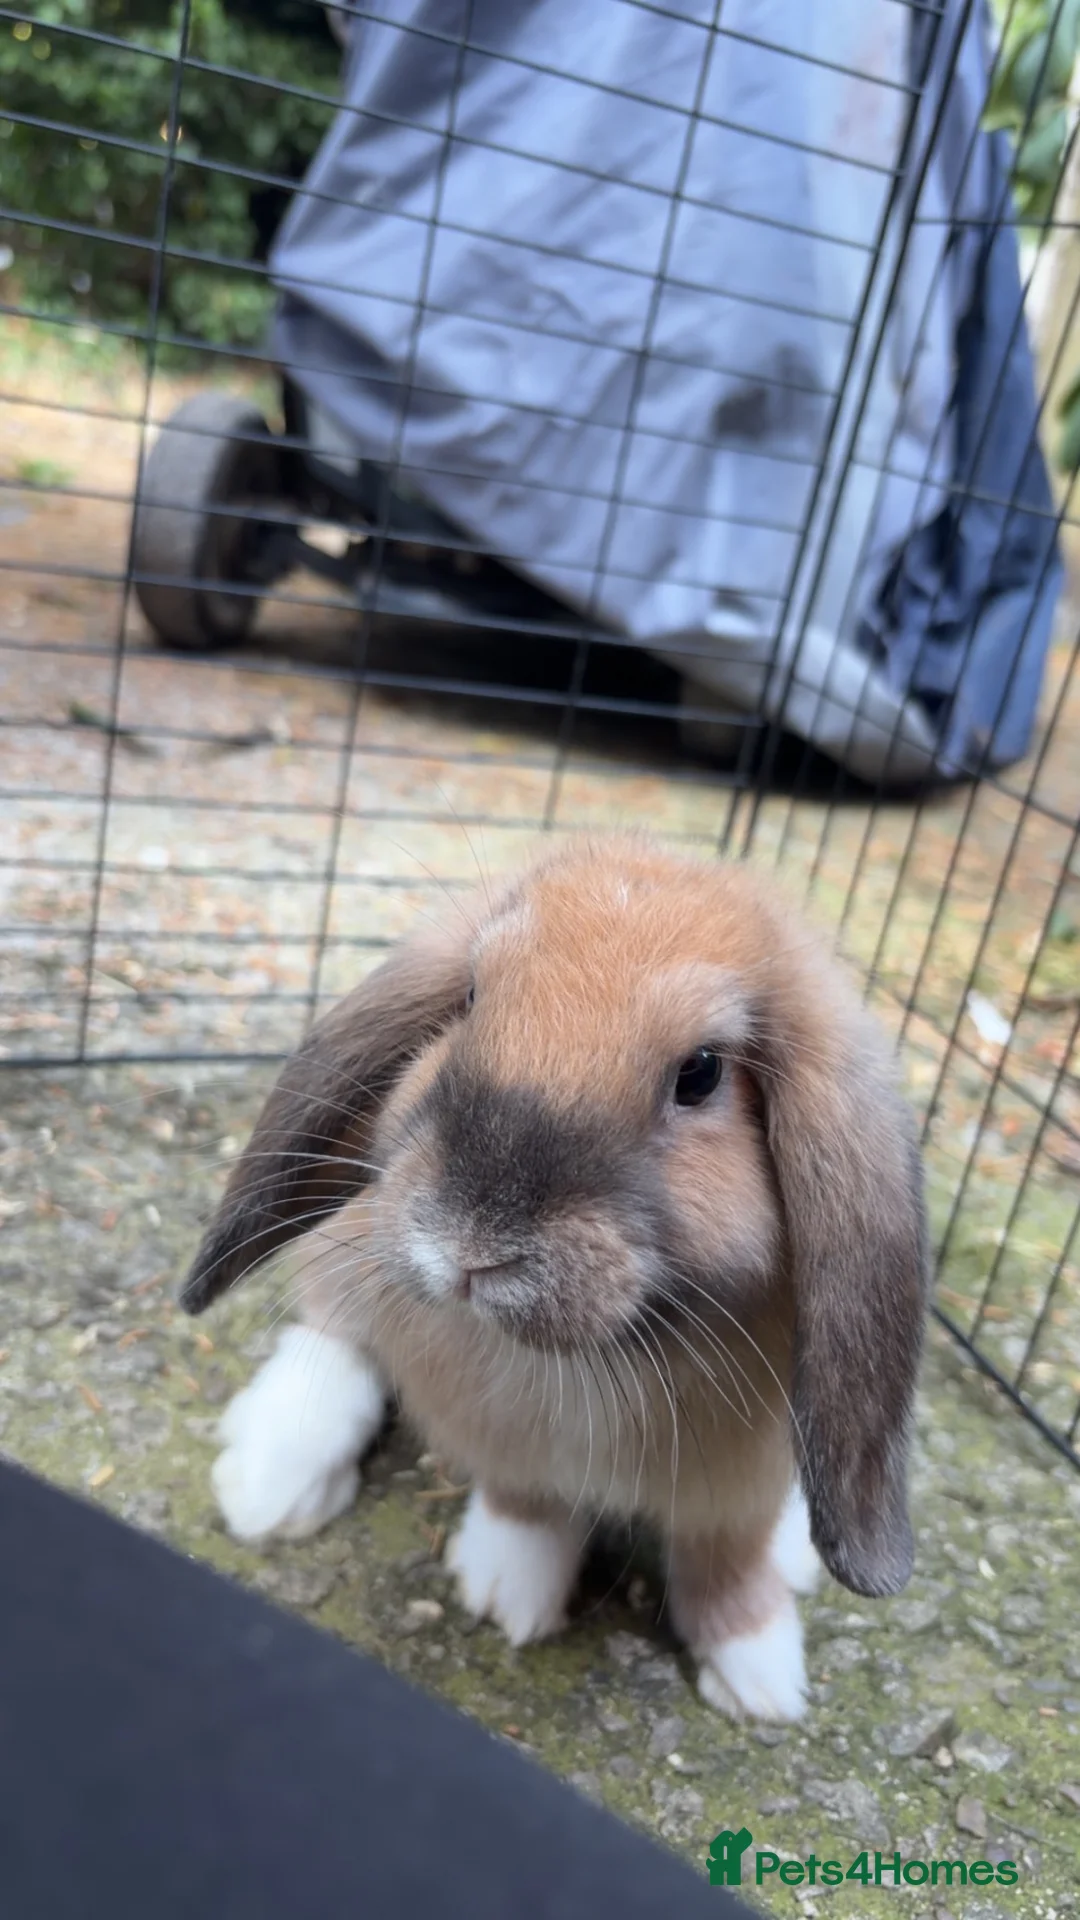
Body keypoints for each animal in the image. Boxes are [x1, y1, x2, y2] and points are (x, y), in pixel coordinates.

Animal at [181, 833, 929, 1722]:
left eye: (701, 1072)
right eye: (470, 998)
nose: (470, 1240)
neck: (603, 1360)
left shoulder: (739, 1484)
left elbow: (728, 1559)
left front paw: (760, 1676)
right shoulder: (500, 1435)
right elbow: (525, 1501)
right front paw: (511, 1588)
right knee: (334, 1328)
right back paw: (272, 1481)